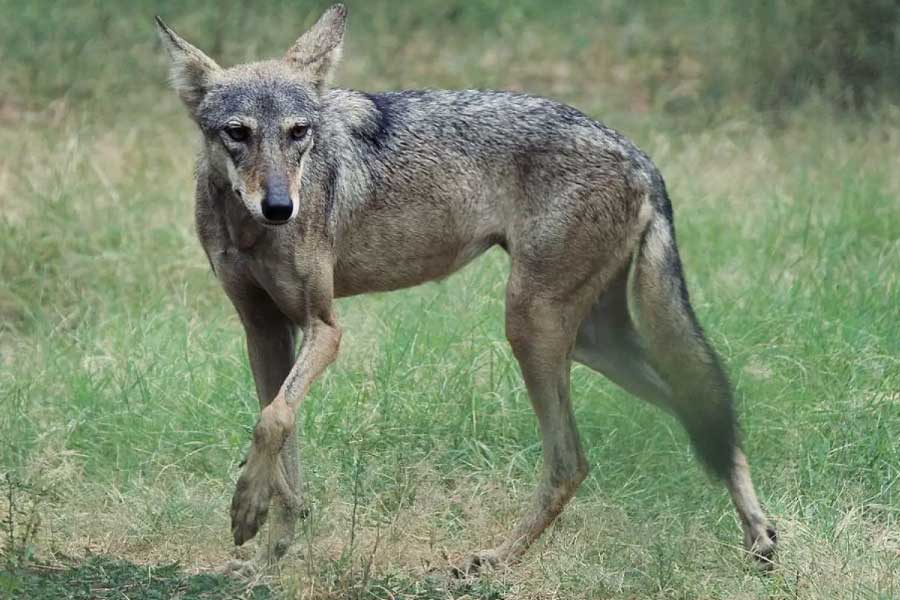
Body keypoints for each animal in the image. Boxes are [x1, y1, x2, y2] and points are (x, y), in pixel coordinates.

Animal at [156, 4, 776, 574]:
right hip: (588, 342)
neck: (247, 228)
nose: (281, 206)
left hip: (532, 327)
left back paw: (497, 559)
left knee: (572, 461)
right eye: (237, 133)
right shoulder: (264, 330)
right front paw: (269, 547)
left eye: (298, 133)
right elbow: (283, 438)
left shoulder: (325, 328)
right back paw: (761, 537)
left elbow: (273, 420)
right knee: (701, 410)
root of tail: (640, 155)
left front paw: (248, 510)